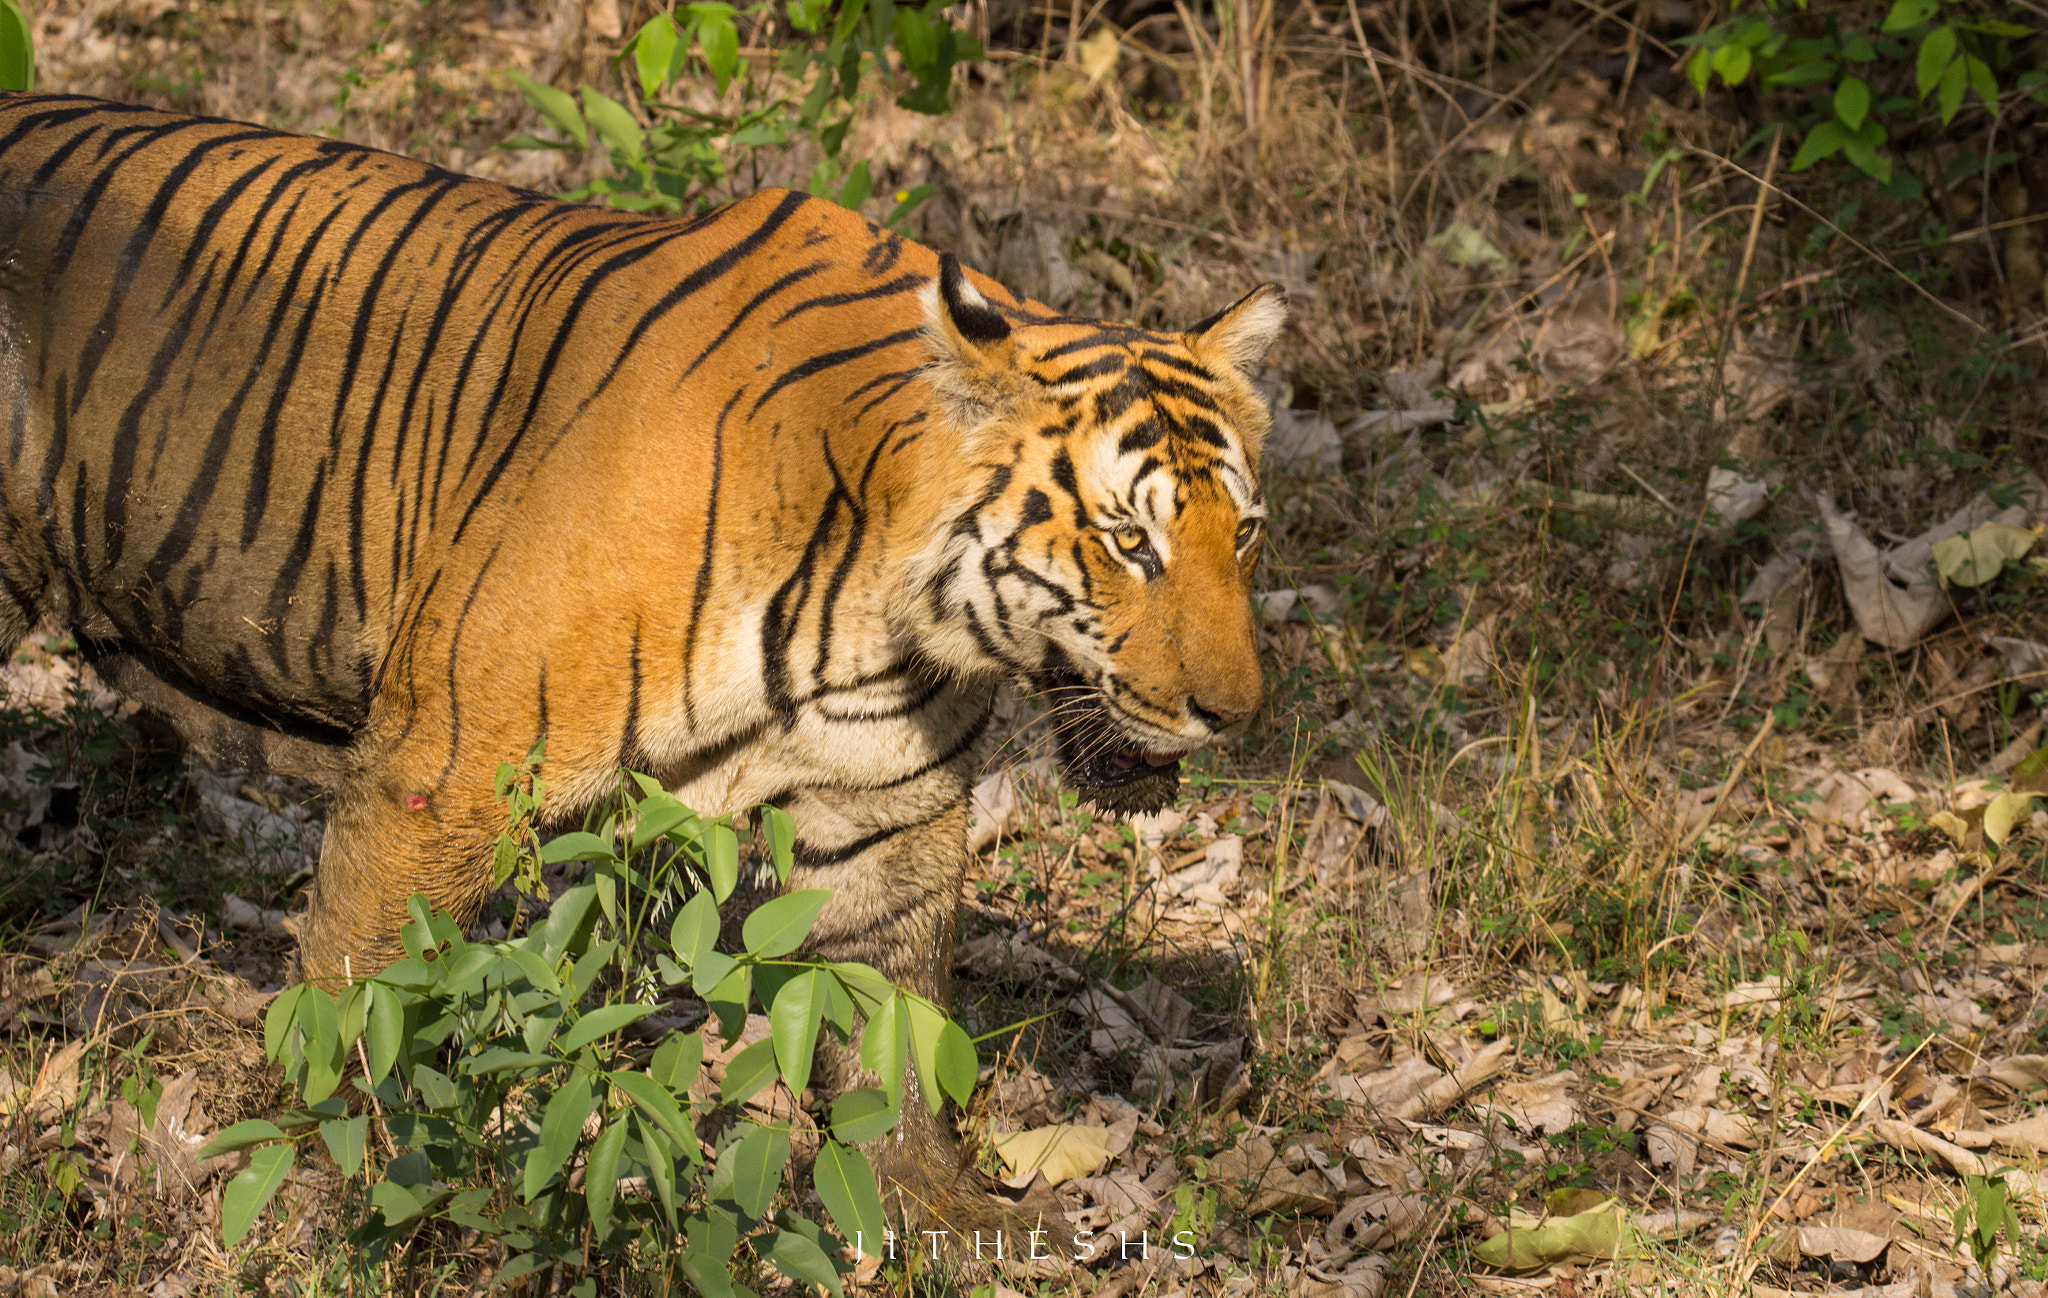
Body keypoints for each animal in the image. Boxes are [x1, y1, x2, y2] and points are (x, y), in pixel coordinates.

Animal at [0, 91, 1283, 1233]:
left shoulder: (892, 812)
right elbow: (355, 1004)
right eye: (1128, 541)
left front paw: (939, 1205)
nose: (1234, 713)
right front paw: (342, 1197)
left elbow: (897, 1029)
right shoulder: (438, 777)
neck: (879, 615)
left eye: (1242, 535)